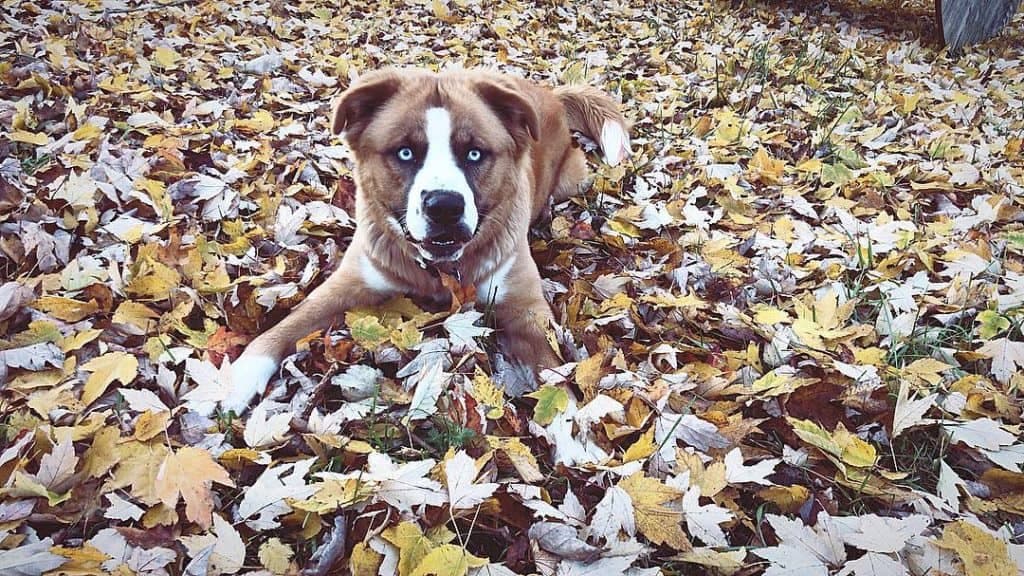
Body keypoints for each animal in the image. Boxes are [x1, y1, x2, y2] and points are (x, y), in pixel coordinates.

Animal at [220, 67, 626, 412]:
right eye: (405, 152)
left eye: (474, 153)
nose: (444, 206)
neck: (441, 271)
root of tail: (552, 95)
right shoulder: (350, 282)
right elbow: (288, 324)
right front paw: (233, 384)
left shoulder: (526, 312)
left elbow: (554, 379)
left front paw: (573, 436)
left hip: (572, 180)